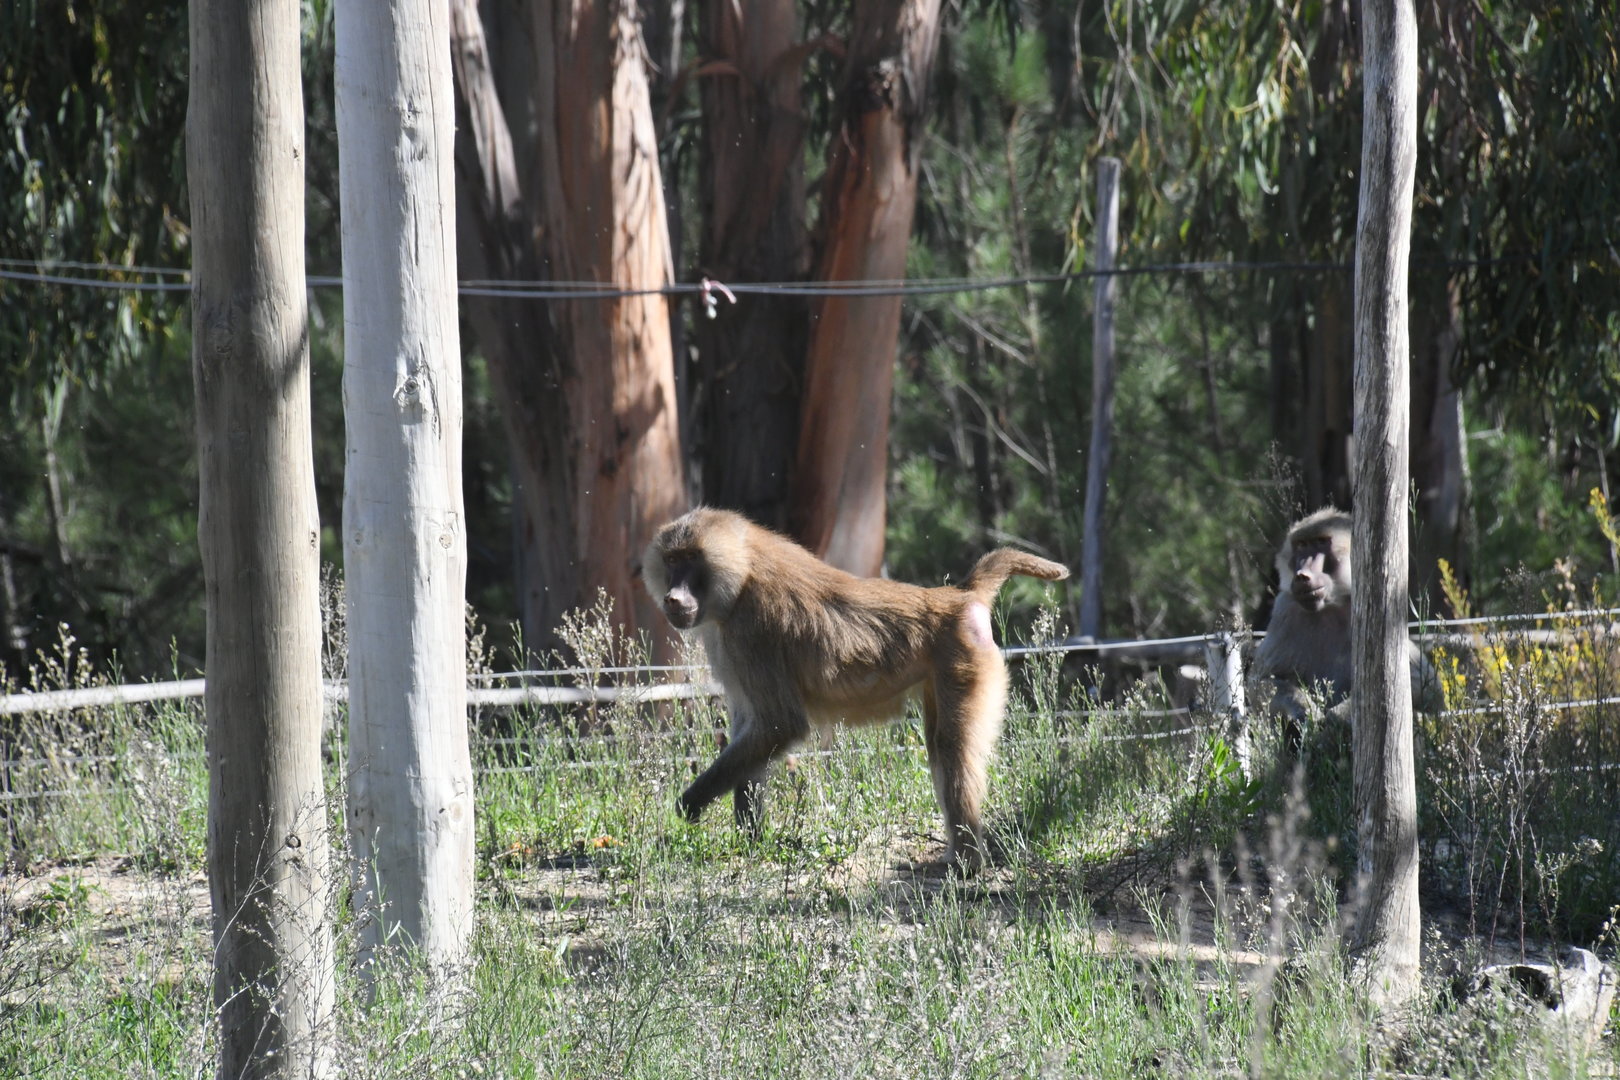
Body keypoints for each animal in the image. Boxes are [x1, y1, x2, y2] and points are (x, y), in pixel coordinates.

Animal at [642, 507, 1069, 873]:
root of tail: (959, 596)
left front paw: (689, 804)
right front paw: (751, 840)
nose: (673, 598)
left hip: (965, 663)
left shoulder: (750, 632)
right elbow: (755, 732)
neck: (742, 571)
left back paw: (966, 863)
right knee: (940, 745)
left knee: (952, 749)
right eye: (672, 561)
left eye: (691, 558)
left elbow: (780, 723)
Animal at [1250, 508, 1442, 746]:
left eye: (1321, 542)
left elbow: (1428, 690)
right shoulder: (1285, 609)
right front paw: (1304, 707)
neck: (1333, 604)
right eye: (1302, 545)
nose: (1302, 575)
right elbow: (1260, 682)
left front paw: (1340, 715)